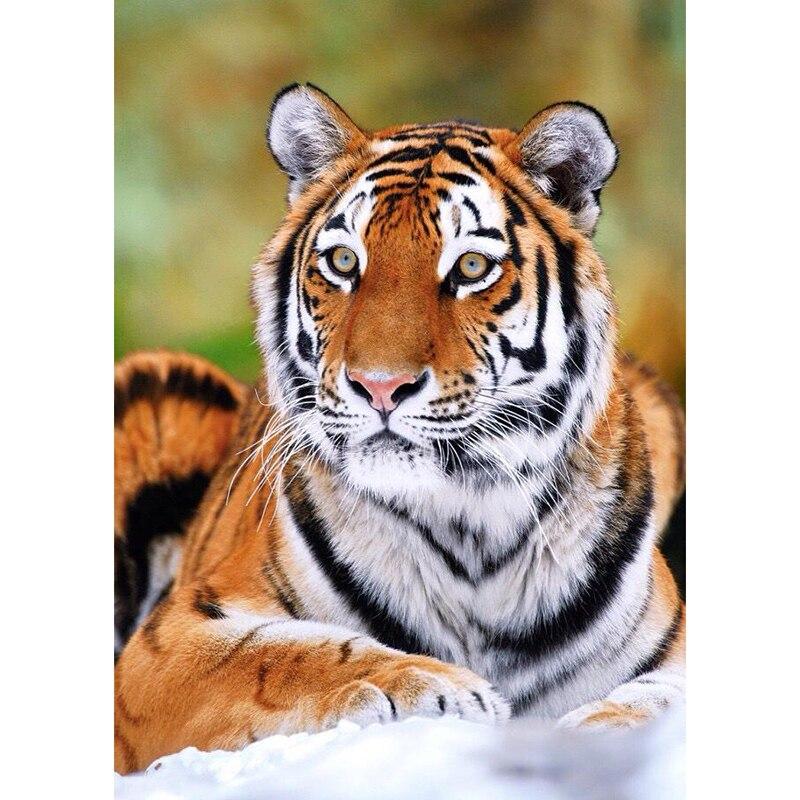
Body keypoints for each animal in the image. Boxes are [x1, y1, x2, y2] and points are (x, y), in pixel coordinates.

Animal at [114, 83, 685, 774]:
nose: (379, 386)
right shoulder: (166, 644)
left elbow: (658, 700)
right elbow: (281, 655)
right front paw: (434, 684)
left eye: (471, 266)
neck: (472, 524)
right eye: (342, 261)